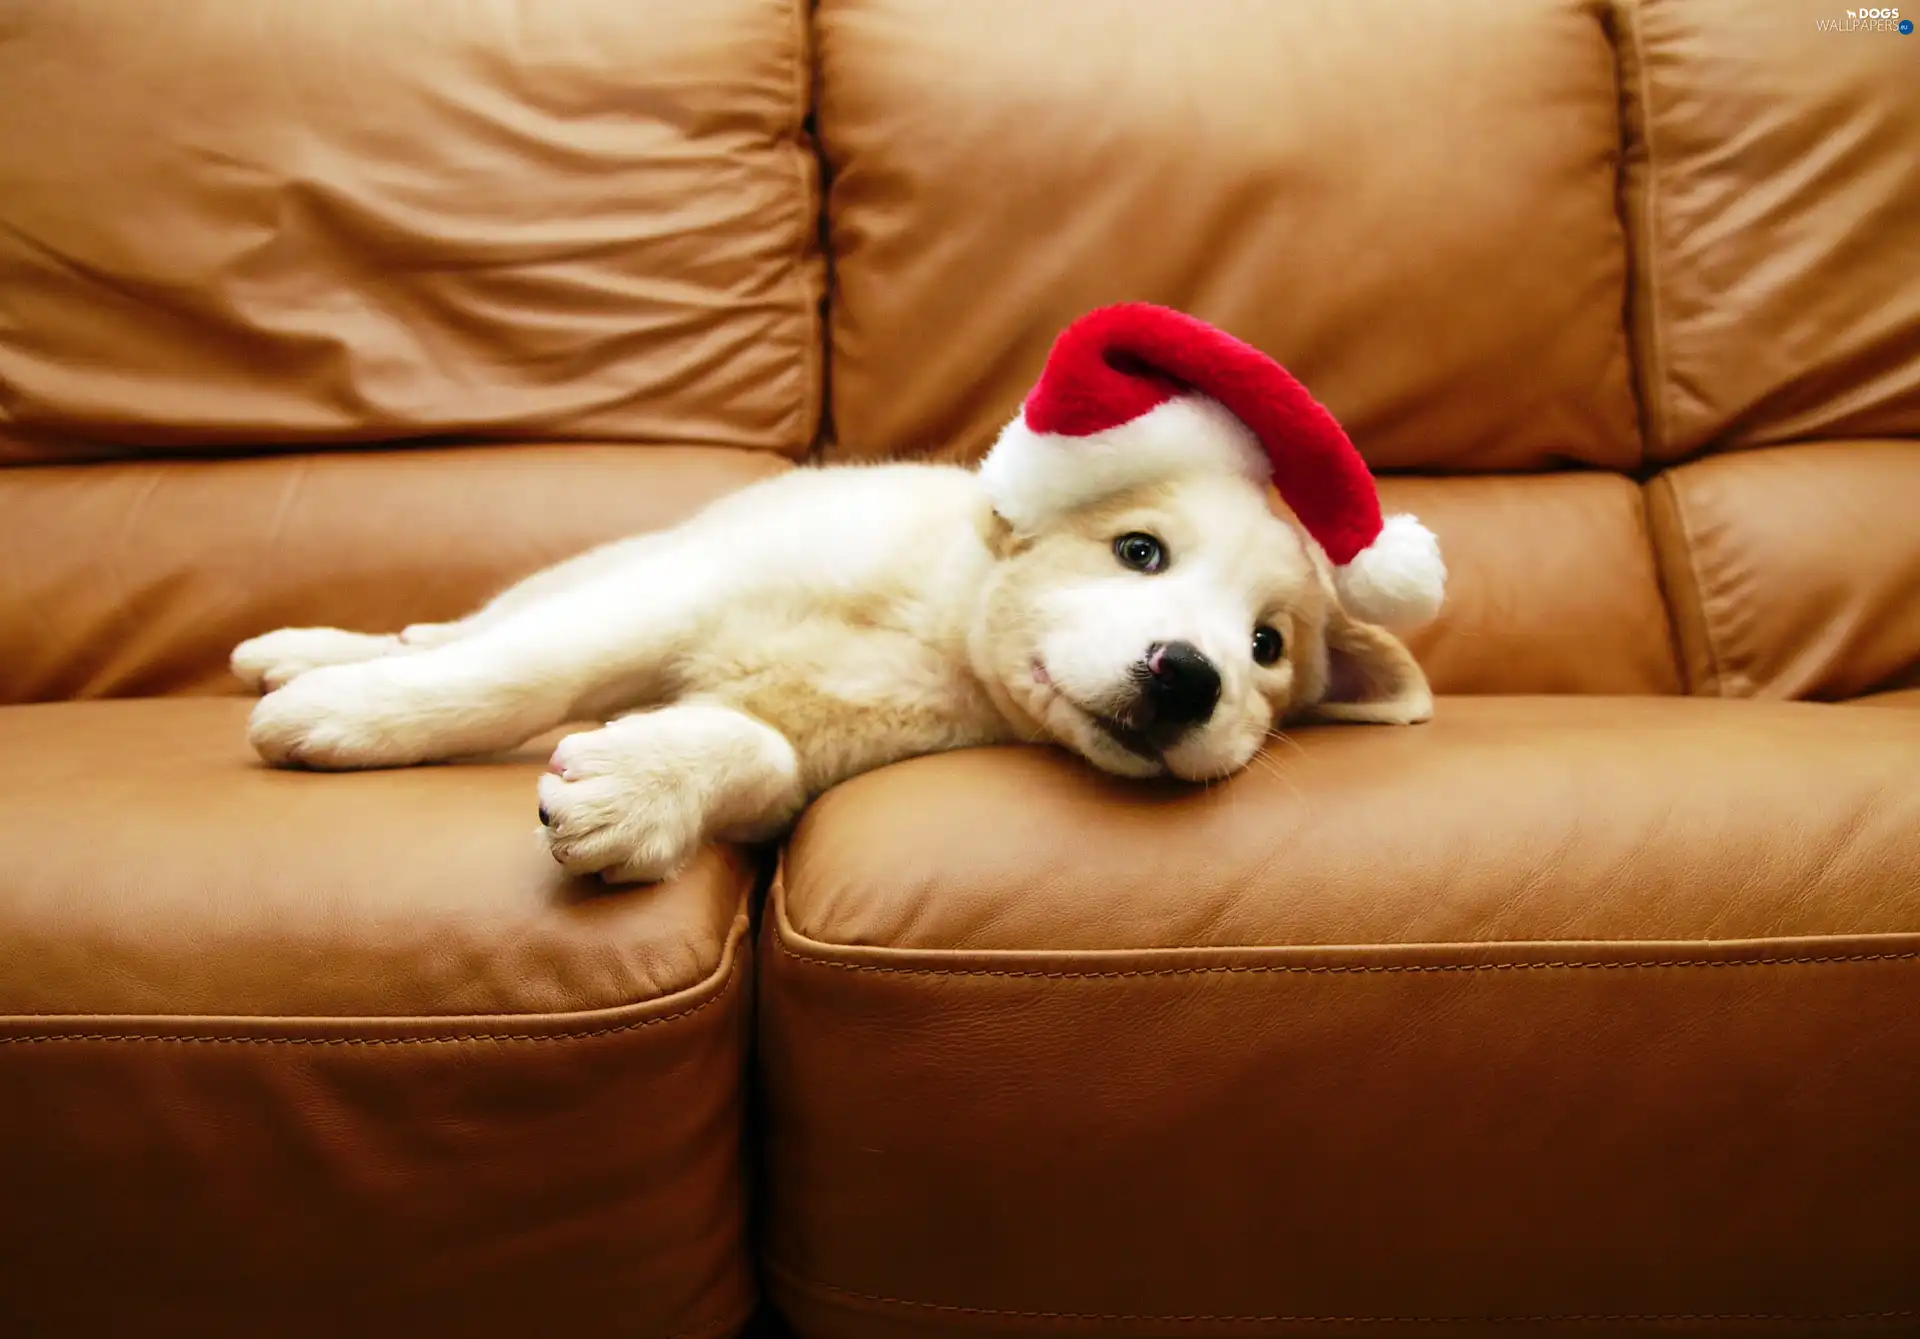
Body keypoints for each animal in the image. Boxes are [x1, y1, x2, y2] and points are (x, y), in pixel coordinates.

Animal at [232, 307, 1443, 883]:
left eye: (1267, 646)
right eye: (1139, 551)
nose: (1189, 677)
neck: (931, 630)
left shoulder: (819, 752)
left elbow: (758, 752)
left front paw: (641, 788)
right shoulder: (673, 594)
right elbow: (522, 671)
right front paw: (351, 716)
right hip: (616, 562)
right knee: (478, 625)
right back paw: (315, 656)